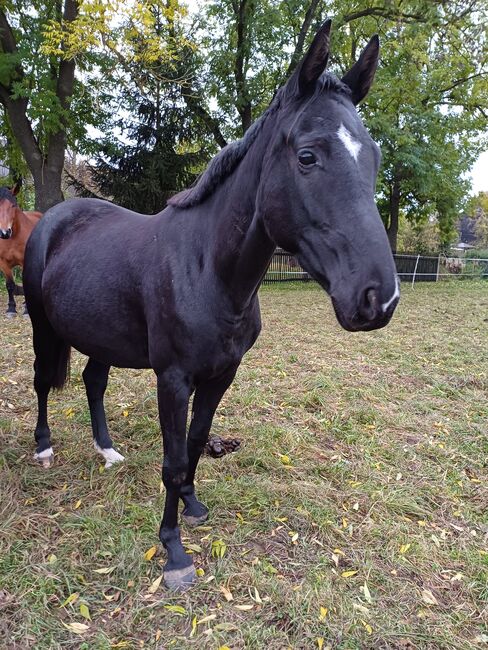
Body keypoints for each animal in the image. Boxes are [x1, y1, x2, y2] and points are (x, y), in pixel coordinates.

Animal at [0, 182, 41, 316]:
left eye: (13, 205)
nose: (5, 232)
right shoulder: (3, 263)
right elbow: (9, 285)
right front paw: (11, 309)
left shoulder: (25, 262)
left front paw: (27, 311)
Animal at [23, 21, 400, 588]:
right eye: (307, 156)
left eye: (374, 158)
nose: (379, 298)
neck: (208, 270)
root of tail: (53, 217)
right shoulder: (174, 379)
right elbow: (175, 457)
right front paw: (174, 550)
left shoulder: (222, 374)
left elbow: (198, 441)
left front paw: (193, 506)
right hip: (43, 328)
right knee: (44, 381)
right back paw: (45, 447)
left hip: (101, 335)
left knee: (93, 382)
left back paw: (107, 451)